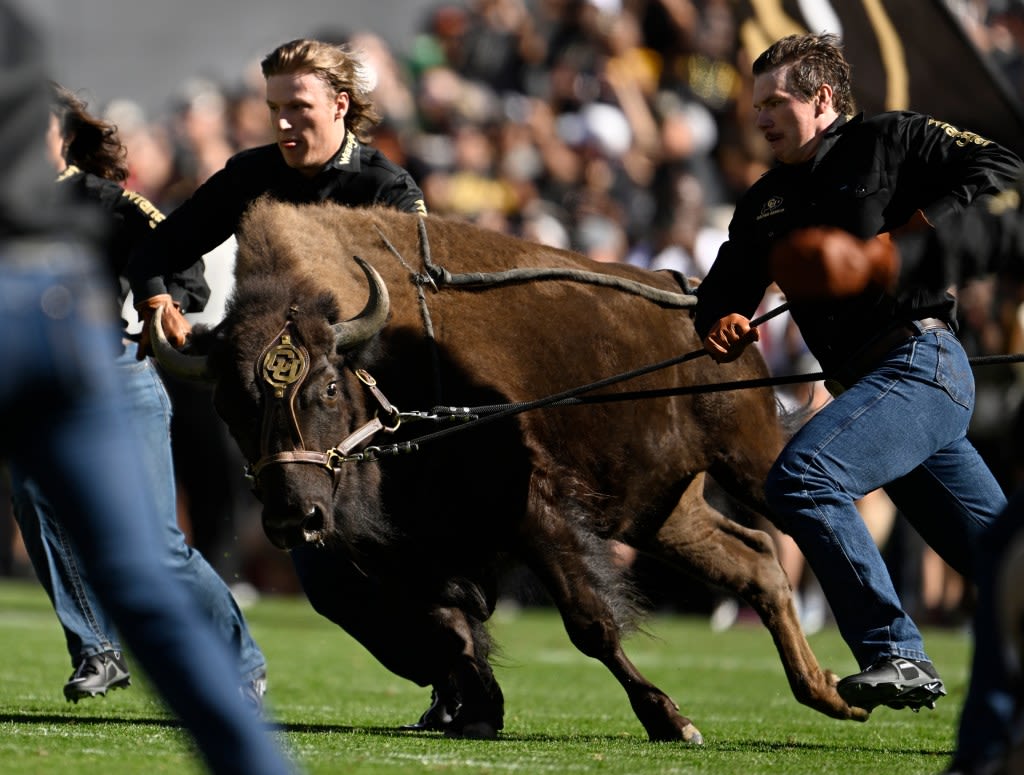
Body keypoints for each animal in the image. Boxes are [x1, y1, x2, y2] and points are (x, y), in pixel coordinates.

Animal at [155, 196, 868, 741]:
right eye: (228, 405)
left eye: (327, 387)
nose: (293, 518)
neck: (386, 376)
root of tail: (700, 299)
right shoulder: (413, 560)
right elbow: (453, 635)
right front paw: (476, 715)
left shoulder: (535, 515)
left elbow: (589, 622)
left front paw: (671, 721)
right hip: (661, 513)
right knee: (755, 561)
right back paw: (830, 692)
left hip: (749, 459)